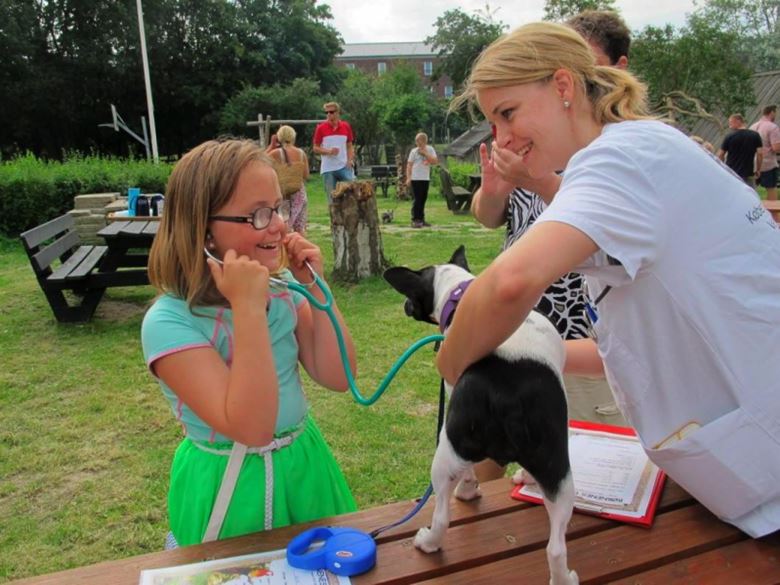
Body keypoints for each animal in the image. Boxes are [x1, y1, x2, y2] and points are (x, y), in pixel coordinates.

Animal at [384, 245, 580, 584]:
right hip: (557, 468)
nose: (405, 305)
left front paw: (468, 487)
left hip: (446, 450)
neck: (460, 290)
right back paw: (562, 577)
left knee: (442, 515)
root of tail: (509, 400)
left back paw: (431, 539)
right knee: (556, 545)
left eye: (412, 295)